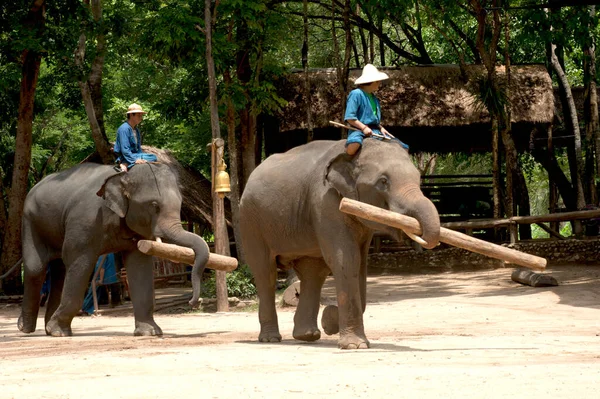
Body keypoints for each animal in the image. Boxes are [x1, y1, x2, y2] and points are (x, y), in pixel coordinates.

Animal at [18, 162, 210, 338]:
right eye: (154, 205)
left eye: (180, 204)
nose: (193, 302)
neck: (122, 177)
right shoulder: (84, 222)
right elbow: (79, 261)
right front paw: (58, 331)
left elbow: (140, 265)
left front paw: (149, 332)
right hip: (30, 220)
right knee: (37, 268)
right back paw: (27, 328)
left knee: (60, 270)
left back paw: (47, 329)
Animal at [239, 138, 440, 350]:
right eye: (383, 181)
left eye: (418, 178)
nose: (329, 315)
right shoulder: (325, 202)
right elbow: (346, 259)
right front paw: (355, 345)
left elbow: (360, 264)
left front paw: (332, 322)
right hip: (251, 222)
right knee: (265, 272)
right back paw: (270, 339)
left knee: (313, 273)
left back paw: (307, 335)